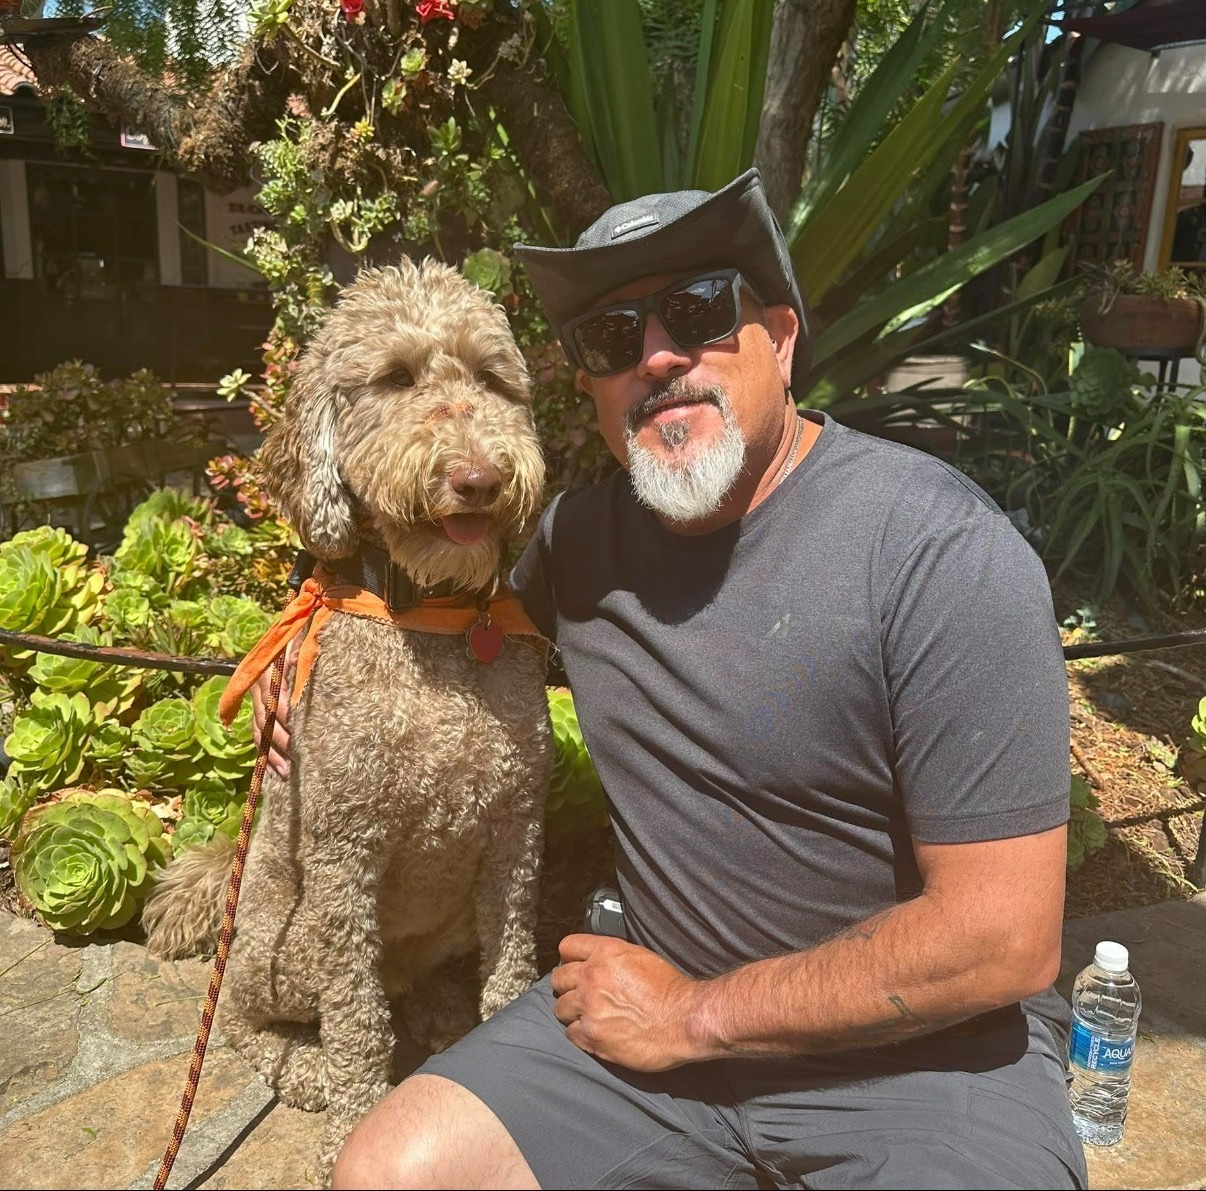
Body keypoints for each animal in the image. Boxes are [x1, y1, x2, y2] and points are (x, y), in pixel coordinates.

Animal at [142, 260, 552, 1177]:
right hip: (284, 944)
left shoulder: (515, 834)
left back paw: (438, 1015)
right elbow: (358, 1023)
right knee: (245, 1022)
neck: (432, 620)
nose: (479, 478)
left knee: (404, 989)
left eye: (491, 378)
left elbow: (512, 966)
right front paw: (349, 1128)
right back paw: (311, 1070)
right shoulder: (343, 857)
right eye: (395, 378)